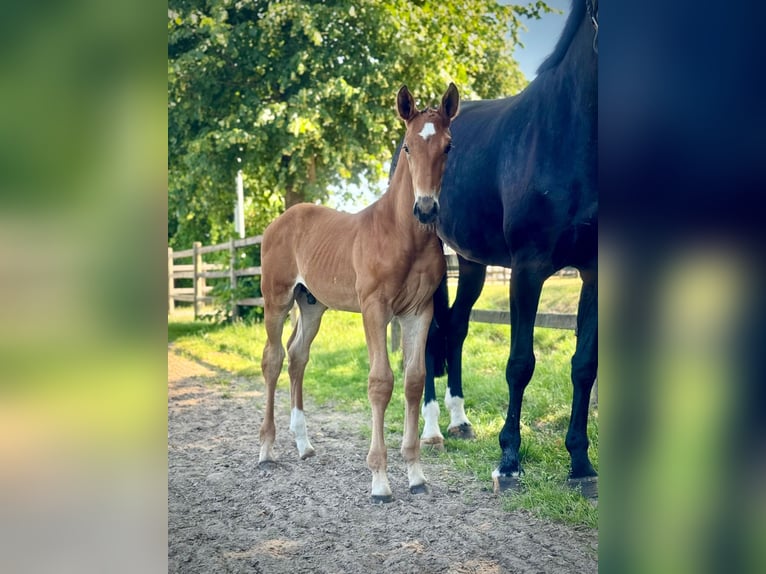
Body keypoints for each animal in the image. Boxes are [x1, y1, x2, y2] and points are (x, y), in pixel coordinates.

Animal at [258, 83, 460, 503]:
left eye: (448, 146)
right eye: (407, 147)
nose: (426, 208)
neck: (401, 235)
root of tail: (279, 221)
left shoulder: (419, 312)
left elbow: (414, 381)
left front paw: (416, 474)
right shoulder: (374, 308)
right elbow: (380, 382)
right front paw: (380, 480)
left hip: (312, 304)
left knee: (297, 356)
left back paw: (304, 444)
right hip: (277, 299)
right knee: (272, 359)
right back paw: (267, 449)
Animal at [415, 0, 599, 495]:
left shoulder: (595, 271)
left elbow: (584, 365)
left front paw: (581, 464)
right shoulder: (528, 268)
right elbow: (520, 364)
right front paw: (509, 461)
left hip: (471, 263)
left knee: (456, 328)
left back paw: (459, 421)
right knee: (430, 337)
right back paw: (432, 429)